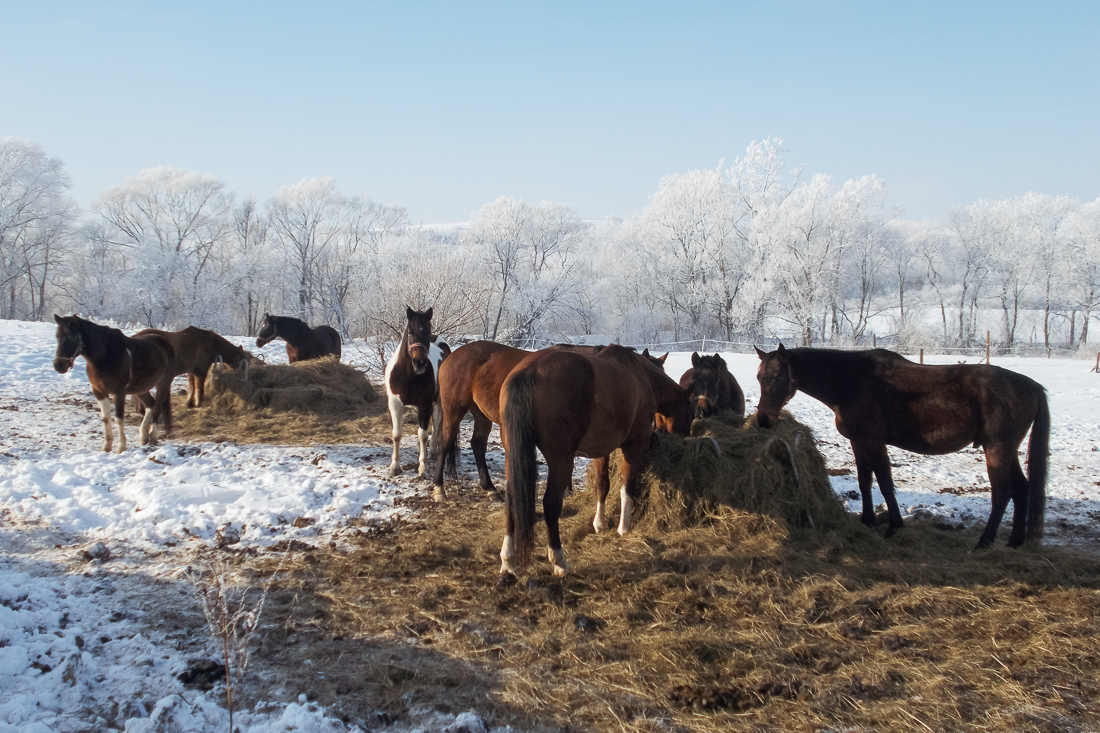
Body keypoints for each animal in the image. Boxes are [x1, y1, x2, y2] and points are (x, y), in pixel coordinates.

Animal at [51, 314, 176, 451]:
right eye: (57, 336)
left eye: (72, 337)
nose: (58, 365)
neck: (105, 356)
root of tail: (164, 342)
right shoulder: (99, 392)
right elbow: (106, 418)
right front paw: (106, 446)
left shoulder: (119, 392)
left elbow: (119, 418)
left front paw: (121, 447)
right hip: (140, 388)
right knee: (150, 404)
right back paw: (144, 436)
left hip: (163, 384)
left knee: (157, 407)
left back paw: (153, 437)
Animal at [385, 305, 448, 488]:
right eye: (410, 332)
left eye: (428, 331)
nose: (419, 363)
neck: (409, 374)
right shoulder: (395, 403)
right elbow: (397, 434)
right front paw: (395, 467)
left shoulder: (425, 405)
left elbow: (423, 435)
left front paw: (422, 468)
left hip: (438, 403)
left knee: (436, 426)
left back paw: (432, 452)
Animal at [431, 343, 682, 497]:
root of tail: (451, 356)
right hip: (454, 409)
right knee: (444, 443)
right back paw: (439, 489)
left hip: (481, 415)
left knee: (478, 445)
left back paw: (490, 489)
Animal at [501, 343, 690, 576]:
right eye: (690, 412)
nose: (686, 436)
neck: (640, 375)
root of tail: (528, 372)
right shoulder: (634, 446)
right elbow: (627, 486)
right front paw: (624, 528)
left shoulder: (601, 450)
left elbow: (602, 485)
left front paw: (599, 524)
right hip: (561, 461)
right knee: (550, 504)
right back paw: (559, 561)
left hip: (512, 457)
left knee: (511, 501)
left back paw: (508, 561)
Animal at [756, 345, 1047, 545]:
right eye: (759, 378)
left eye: (779, 378)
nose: (763, 419)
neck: (851, 382)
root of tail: (1030, 385)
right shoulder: (859, 442)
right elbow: (865, 482)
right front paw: (868, 520)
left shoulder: (874, 443)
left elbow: (885, 483)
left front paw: (894, 526)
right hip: (1006, 451)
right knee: (1021, 489)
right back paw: (1014, 542)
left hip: (997, 449)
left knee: (1002, 494)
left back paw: (983, 543)